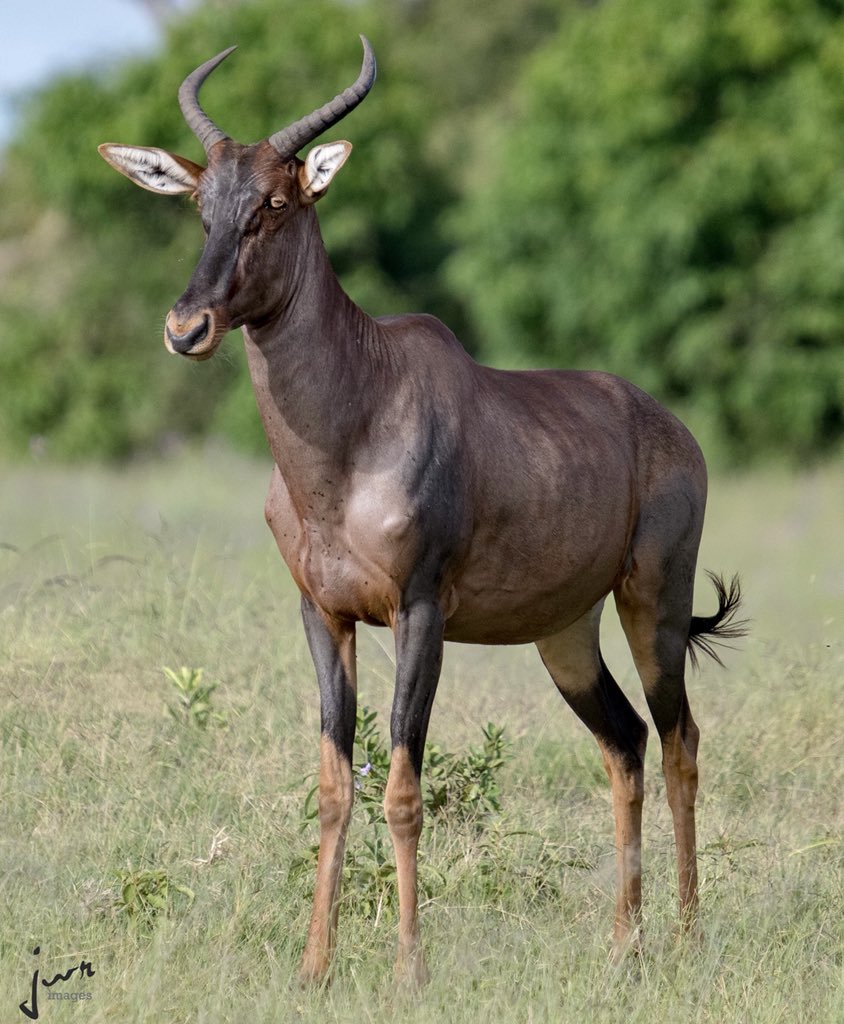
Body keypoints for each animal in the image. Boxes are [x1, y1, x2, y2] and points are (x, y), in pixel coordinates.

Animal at [98, 37, 743, 986]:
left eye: (277, 203)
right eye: (200, 206)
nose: (187, 327)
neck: (356, 418)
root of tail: (671, 428)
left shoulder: (422, 610)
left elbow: (403, 783)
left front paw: (408, 966)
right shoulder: (323, 614)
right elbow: (335, 785)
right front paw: (314, 967)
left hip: (653, 600)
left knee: (680, 742)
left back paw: (689, 940)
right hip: (565, 633)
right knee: (623, 744)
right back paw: (623, 943)